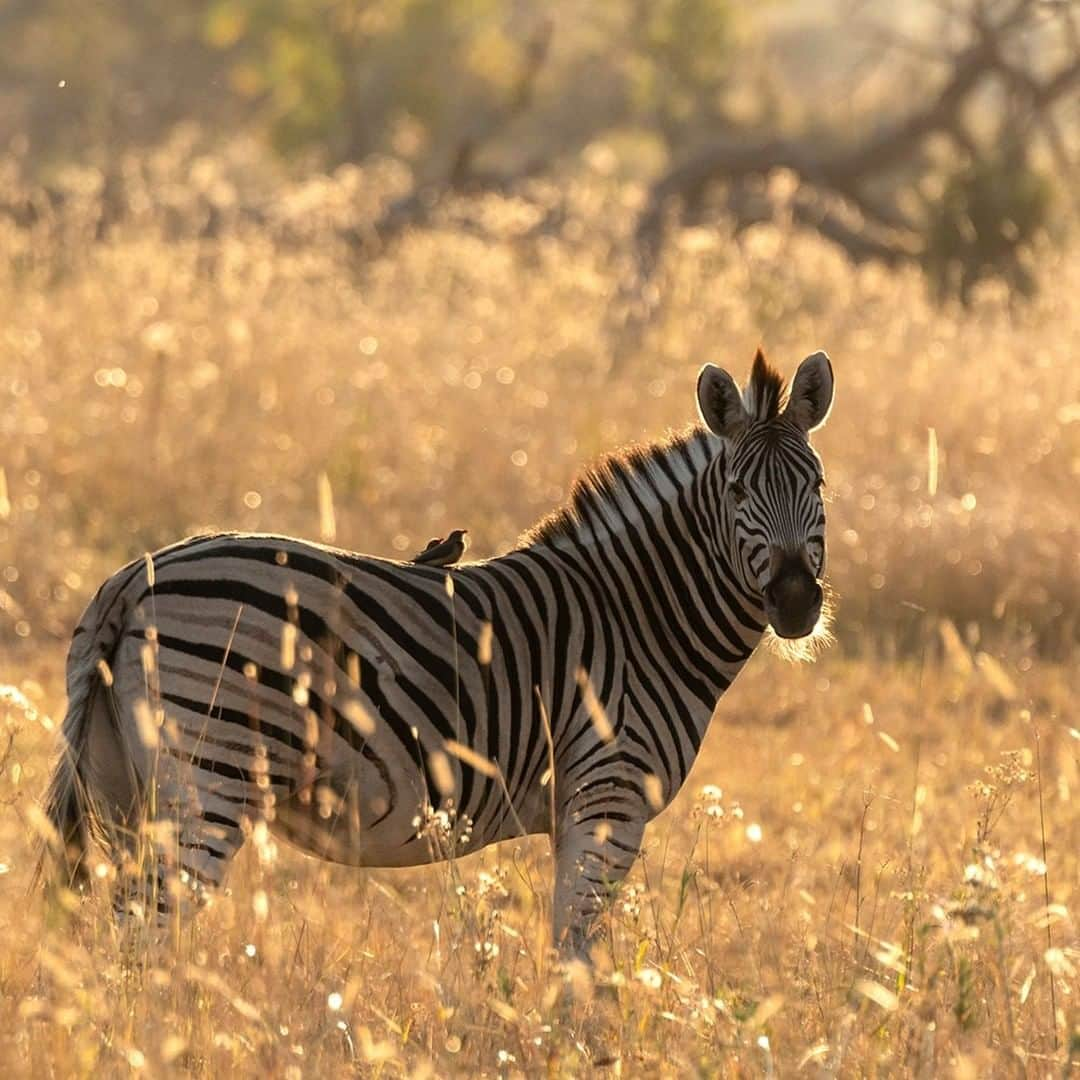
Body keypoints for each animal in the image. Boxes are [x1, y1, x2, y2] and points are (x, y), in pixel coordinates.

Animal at [39, 345, 833, 954]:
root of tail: (129, 580)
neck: (638, 614)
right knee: (150, 934)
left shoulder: (577, 807)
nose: (797, 602)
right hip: (213, 776)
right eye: (737, 491)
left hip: (123, 783)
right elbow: (577, 951)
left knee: (119, 929)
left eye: (819, 486)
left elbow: (567, 947)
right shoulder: (608, 797)